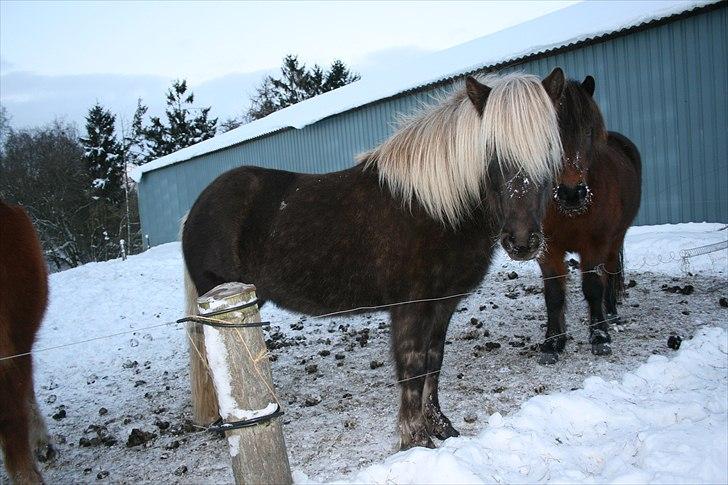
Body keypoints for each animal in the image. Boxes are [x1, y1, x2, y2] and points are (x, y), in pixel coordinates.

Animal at [183, 69, 568, 450]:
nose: (522, 241)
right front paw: (415, 439)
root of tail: (197, 206)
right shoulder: (411, 307)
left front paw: (440, 427)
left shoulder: (443, 303)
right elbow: (412, 368)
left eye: (549, 150)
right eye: (492, 153)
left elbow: (434, 362)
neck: (434, 207)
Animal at [536, 75, 644, 364]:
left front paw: (600, 338)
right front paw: (553, 343)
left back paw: (612, 315)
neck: (568, 212)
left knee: (611, 273)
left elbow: (594, 287)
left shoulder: (594, 245)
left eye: (587, 131)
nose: (571, 193)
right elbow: (554, 294)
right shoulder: (547, 250)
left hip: (616, 239)